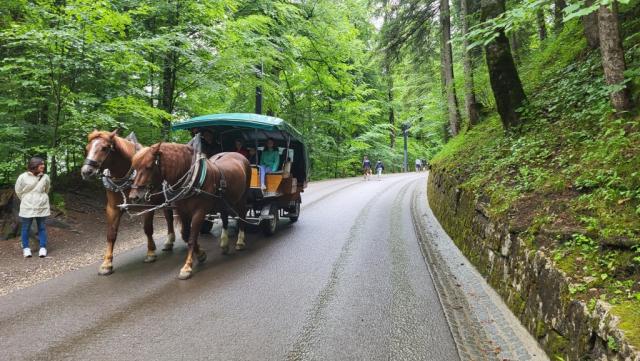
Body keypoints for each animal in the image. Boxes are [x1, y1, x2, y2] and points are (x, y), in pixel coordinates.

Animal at [82, 131, 180, 274]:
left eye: (104, 148)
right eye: (87, 148)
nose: (86, 172)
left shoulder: (147, 206)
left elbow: (148, 229)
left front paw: (150, 252)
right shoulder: (113, 209)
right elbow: (111, 234)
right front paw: (107, 263)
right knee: (169, 217)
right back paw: (169, 242)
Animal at [129, 142, 251, 280]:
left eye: (149, 167)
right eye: (134, 167)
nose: (134, 197)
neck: (193, 180)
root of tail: (239, 155)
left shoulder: (199, 212)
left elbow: (192, 238)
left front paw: (187, 267)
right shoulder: (184, 212)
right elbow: (186, 235)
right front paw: (201, 255)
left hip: (242, 198)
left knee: (242, 216)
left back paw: (240, 241)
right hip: (224, 201)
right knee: (225, 217)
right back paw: (224, 243)